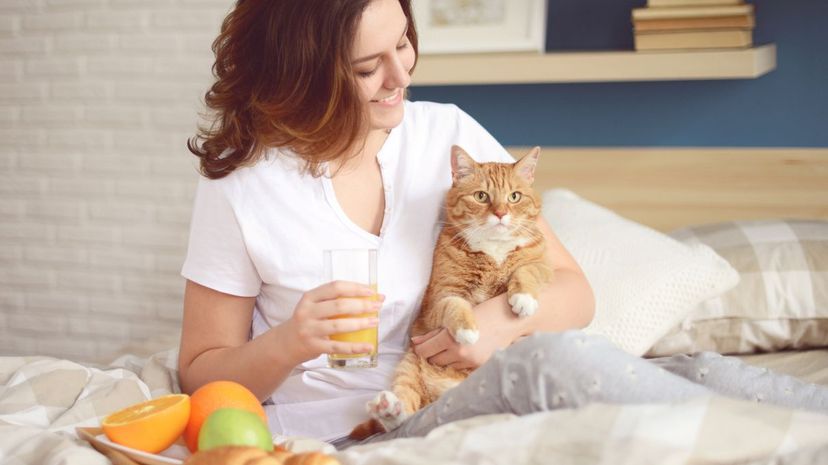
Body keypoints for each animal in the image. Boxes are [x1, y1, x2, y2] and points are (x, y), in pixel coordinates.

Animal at [350, 146, 548, 438]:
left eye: (514, 196)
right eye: (481, 196)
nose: (501, 213)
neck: (494, 249)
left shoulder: (543, 264)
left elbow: (527, 272)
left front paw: (523, 299)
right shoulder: (439, 298)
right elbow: (454, 305)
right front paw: (467, 329)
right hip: (410, 365)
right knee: (404, 413)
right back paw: (389, 409)